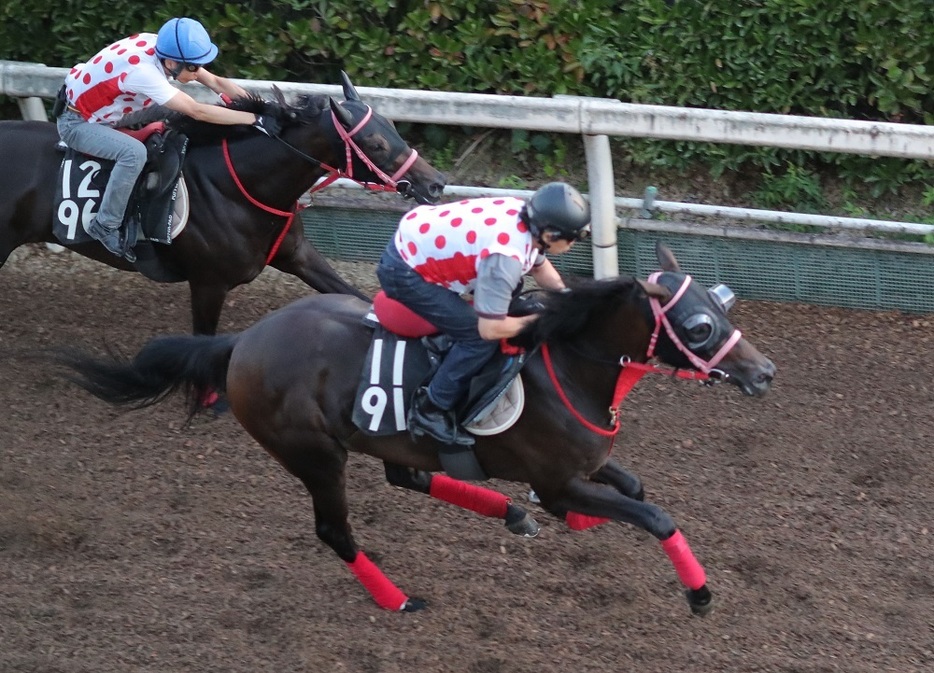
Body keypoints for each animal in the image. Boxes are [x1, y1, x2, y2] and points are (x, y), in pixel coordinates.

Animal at [0, 72, 444, 334]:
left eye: (393, 126)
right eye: (376, 143)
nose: (436, 183)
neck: (238, 186)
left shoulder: (297, 255)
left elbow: (357, 296)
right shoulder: (208, 284)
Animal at [54, 243, 780, 616]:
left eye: (721, 301)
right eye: (699, 326)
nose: (765, 372)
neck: (570, 367)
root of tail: (243, 342)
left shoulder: (585, 466)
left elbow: (633, 487)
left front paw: (567, 520)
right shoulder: (559, 477)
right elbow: (653, 514)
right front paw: (700, 593)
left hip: (377, 435)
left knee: (407, 474)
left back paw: (509, 515)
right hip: (312, 454)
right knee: (334, 529)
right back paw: (398, 599)